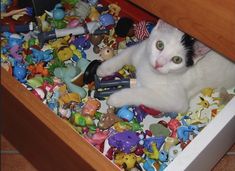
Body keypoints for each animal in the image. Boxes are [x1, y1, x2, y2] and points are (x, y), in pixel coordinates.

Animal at [96, 19, 235, 112]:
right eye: (160, 45)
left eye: (177, 59)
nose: (159, 63)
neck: (149, 70)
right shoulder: (141, 49)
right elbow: (126, 54)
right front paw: (104, 68)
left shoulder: (177, 101)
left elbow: (143, 93)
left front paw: (117, 97)